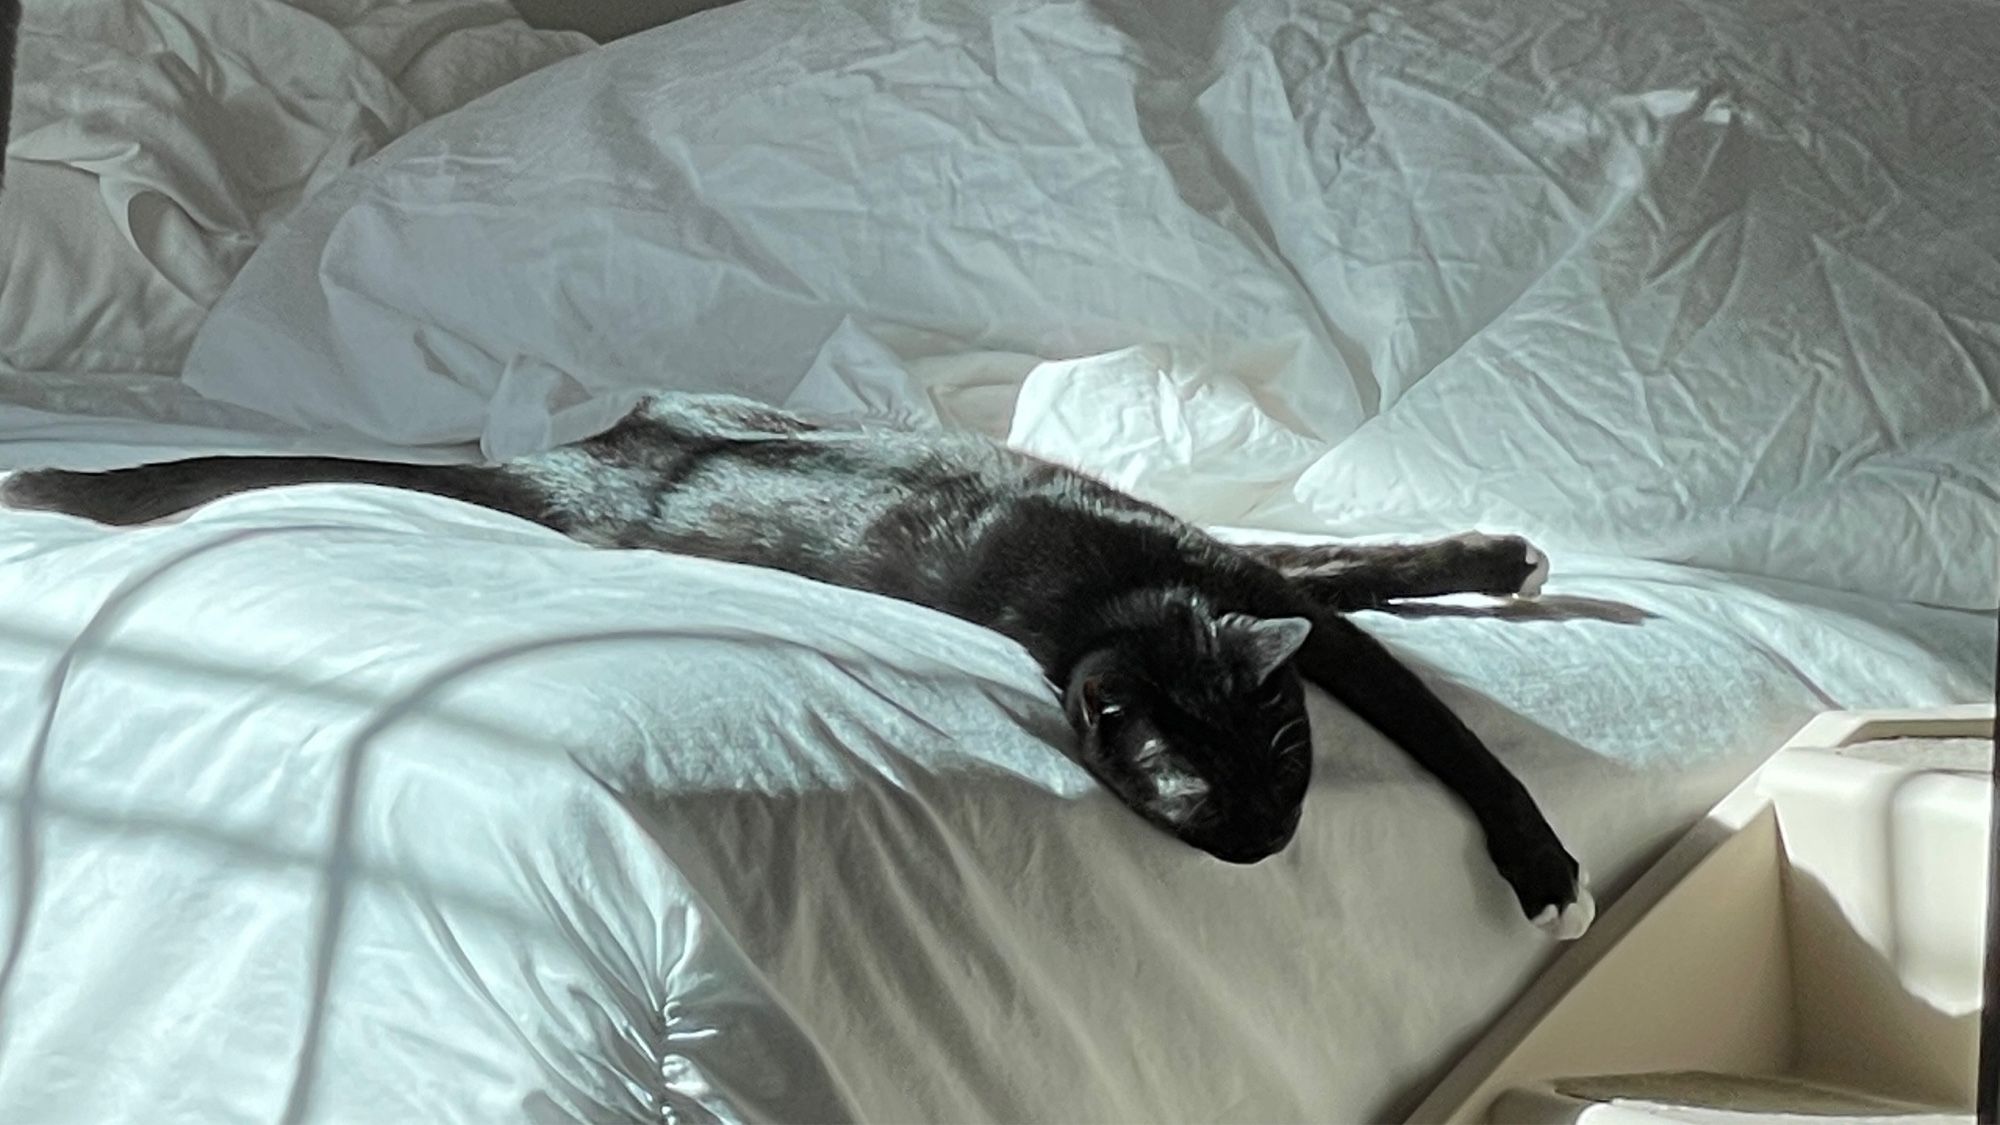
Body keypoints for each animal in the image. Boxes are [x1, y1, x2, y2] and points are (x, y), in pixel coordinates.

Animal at [0, 394, 1592, 936]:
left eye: (1282, 759)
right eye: (1193, 803)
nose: (1267, 844)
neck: (1135, 595)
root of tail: (577, 457)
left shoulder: (1249, 589)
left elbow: (1377, 632)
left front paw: (1493, 564)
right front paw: (1548, 877)